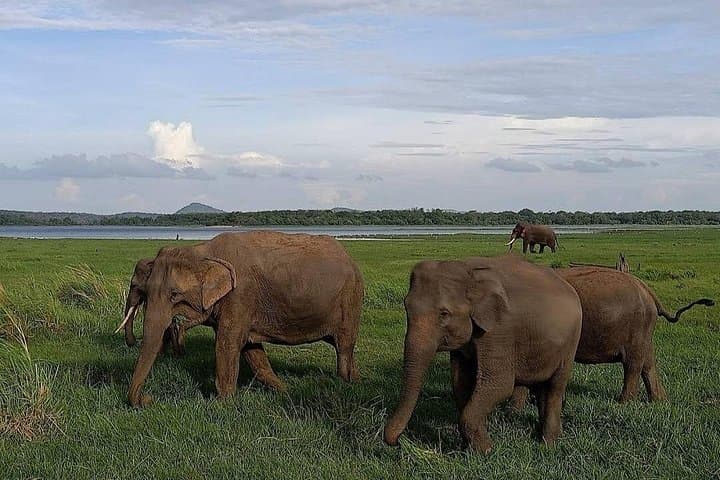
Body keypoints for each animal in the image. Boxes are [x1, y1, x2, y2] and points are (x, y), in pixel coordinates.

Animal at [125, 231, 364, 407]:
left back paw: (345, 383)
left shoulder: (239, 296)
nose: (148, 399)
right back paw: (356, 381)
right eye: (146, 291)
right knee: (347, 348)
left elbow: (227, 344)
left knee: (344, 346)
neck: (203, 251)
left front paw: (223, 404)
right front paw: (284, 390)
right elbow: (252, 350)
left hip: (350, 300)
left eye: (174, 295)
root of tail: (349, 257)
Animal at [383, 255, 582, 453]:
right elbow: (461, 383)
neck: (468, 270)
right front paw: (466, 449)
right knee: (542, 386)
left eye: (444, 314)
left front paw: (486, 451)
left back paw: (548, 444)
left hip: (571, 342)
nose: (398, 442)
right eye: (406, 308)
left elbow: (499, 385)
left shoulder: (500, 329)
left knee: (555, 387)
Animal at [510, 267, 714, 408]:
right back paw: (659, 401)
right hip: (644, 329)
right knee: (648, 363)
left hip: (637, 327)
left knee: (633, 364)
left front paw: (514, 411)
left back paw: (624, 403)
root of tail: (649, 292)